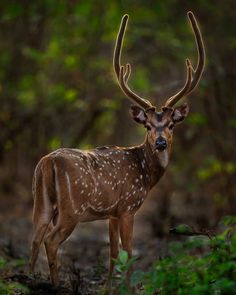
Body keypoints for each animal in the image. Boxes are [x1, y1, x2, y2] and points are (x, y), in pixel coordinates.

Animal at [28, 12, 205, 286]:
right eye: (147, 125)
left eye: (171, 124)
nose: (160, 142)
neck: (145, 173)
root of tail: (48, 162)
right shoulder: (128, 206)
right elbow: (129, 252)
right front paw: (128, 286)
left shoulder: (112, 212)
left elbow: (112, 253)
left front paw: (109, 287)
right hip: (72, 208)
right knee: (50, 239)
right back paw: (55, 284)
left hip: (41, 201)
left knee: (35, 237)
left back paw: (27, 278)